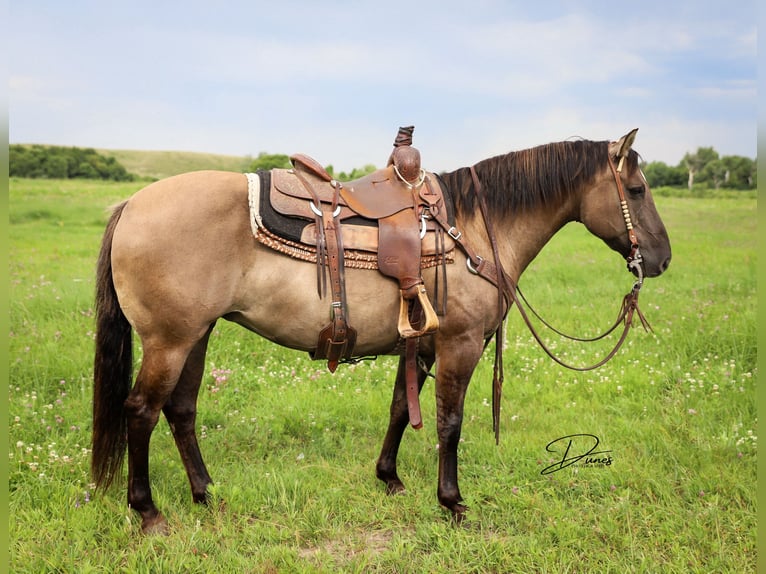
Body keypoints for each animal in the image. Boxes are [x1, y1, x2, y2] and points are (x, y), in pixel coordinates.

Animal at [91, 130, 672, 536]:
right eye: (637, 188)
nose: (662, 259)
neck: (475, 230)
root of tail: (131, 205)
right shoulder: (459, 344)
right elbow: (449, 423)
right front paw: (452, 502)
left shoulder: (420, 344)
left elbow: (400, 408)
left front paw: (389, 478)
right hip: (169, 341)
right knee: (141, 411)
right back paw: (148, 512)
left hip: (196, 334)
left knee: (180, 410)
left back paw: (207, 493)